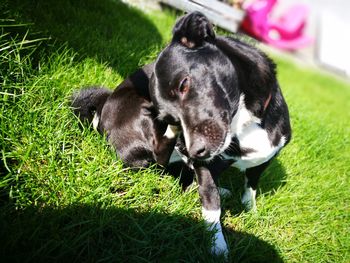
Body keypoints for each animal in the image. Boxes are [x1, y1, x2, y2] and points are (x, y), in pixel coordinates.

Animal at [149, 11, 292, 256]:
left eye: (184, 84)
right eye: (172, 122)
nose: (194, 152)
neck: (243, 125)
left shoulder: (266, 158)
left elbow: (252, 184)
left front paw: (250, 208)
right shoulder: (205, 169)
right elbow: (211, 206)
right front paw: (217, 245)